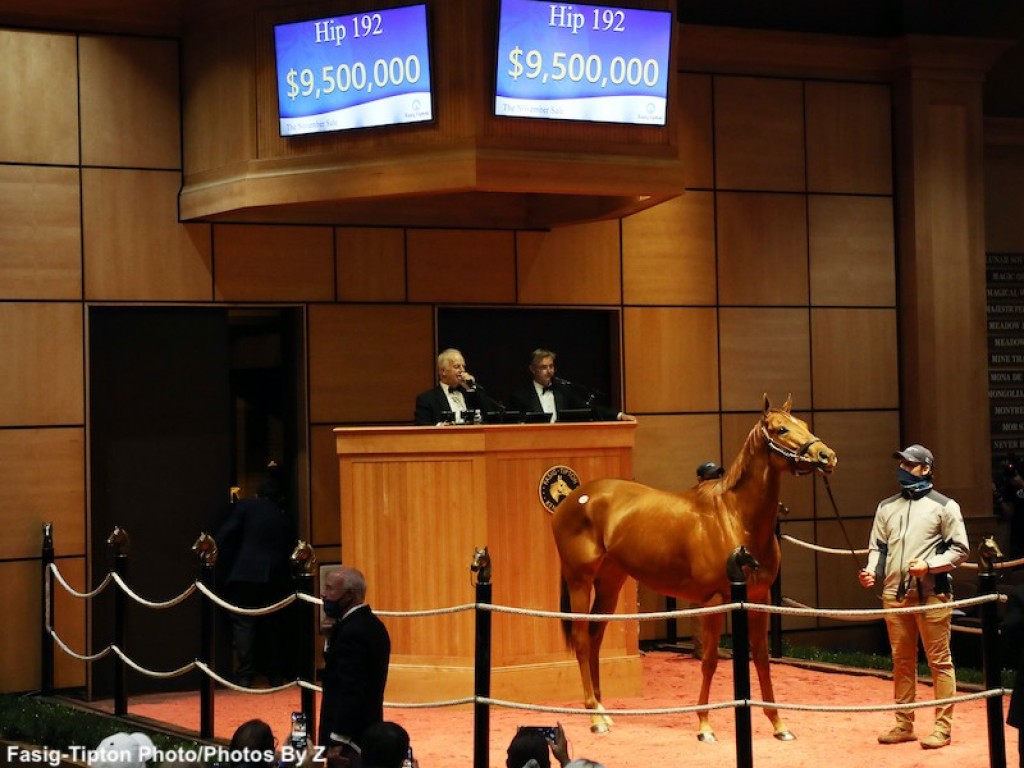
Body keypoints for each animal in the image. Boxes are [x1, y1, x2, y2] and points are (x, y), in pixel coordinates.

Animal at [557, 397, 835, 741]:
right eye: (781, 429)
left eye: (805, 425)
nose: (826, 455)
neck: (736, 519)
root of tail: (575, 498)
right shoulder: (715, 601)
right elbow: (710, 661)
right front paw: (704, 725)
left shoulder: (760, 599)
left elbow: (762, 659)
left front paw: (779, 724)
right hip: (579, 580)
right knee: (583, 641)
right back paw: (594, 718)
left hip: (610, 582)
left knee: (595, 638)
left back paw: (603, 711)